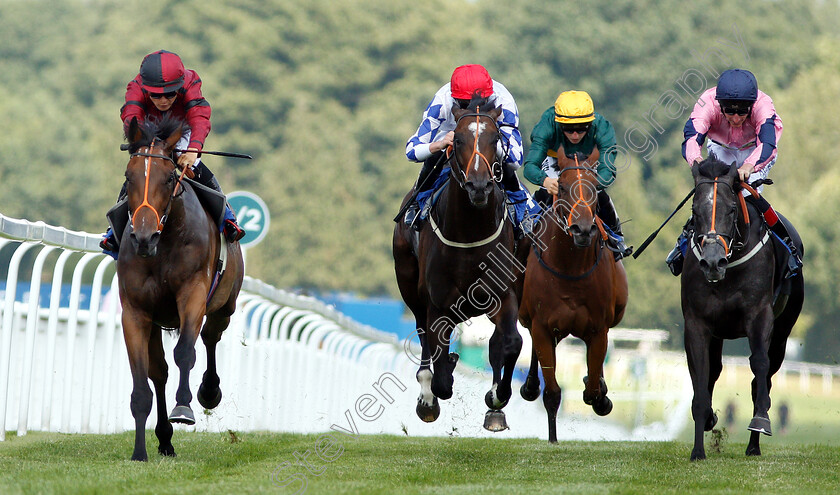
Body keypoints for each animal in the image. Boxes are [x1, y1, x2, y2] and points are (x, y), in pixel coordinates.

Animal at [116, 115, 244, 462]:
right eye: (129, 176)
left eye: (169, 177)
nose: (143, 237)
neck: (164, 245)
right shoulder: (135, 312)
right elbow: (142, 383)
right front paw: (139, 452)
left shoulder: (193, 295)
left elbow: (186, 351)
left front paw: (184, 408)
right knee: (159, 372)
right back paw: (164, 439)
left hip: (224, 306)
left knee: (210, 338)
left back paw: (209, 391)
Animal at [392, 95, 520, 432]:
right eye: (458, 139)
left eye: (496, 138)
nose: (478, 186)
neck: (470, 234)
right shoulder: (438, 304)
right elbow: (439, 369)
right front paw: (440, 381)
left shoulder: (504, 295)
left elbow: (510, 343)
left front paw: (497, 399)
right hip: (410, 287)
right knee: (424, 339)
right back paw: (427, 397)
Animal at [516, 145, 628, 444]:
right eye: (563, 187)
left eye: (594, 187)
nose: (583, 229)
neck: (570, 267)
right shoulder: (543, 326)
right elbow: (552, 391)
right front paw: (553, 439)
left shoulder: (598, 329)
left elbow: (592, 387)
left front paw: (601, 395)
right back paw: (529, 385)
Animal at [680, 158, 804, 462]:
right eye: (694, 210)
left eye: (732, 209)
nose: (713, 262)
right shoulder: (697, 323)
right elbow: (701, 377)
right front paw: (698, 449)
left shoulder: (760, 316)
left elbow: (759, 364)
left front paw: (760, 420)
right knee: (714, 370)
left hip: (783, 334)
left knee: (763, 378)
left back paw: (753, 444)